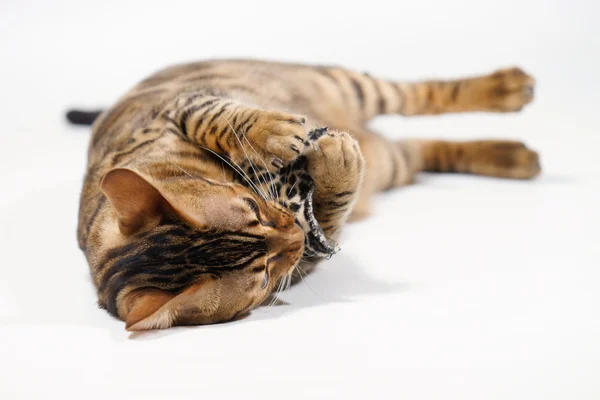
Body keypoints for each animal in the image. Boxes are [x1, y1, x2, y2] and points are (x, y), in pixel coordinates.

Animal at [74, 59, 540, 332]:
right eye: (263, 274)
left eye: (252, 208)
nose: (293, 236)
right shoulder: (307, 256)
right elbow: (328, 217)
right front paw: (338, 164)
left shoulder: (180, 106)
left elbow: (217, 116)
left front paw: (273, 132)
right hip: (392, 162)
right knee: (422, 148)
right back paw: (513, 156)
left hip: (349, 84)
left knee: (421, 96)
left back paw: (507, 88)